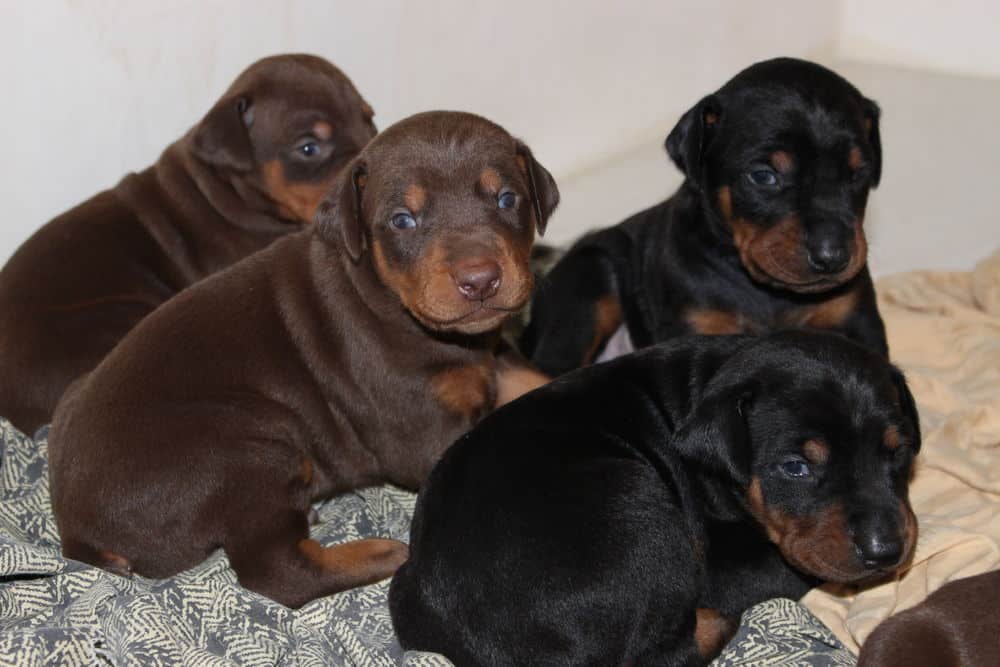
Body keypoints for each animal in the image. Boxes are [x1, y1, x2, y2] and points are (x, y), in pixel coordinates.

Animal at [47, 111, 560, 612]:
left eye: (507, 198)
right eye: (402, 220)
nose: (481, 280)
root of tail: (77, 531)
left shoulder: (497, 357)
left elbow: (532, 380)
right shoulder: (420, 433)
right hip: (246, 445)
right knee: (276, 572)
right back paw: (378, 553)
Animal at [390, 332, 920, 667]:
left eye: (898, 452)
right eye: (795, 467)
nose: (886, 551)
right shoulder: (724, 567)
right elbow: (792, 568)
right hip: (640, 506)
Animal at [520, 58, 888, 376]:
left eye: (859, 172)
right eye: (764, 176)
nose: (833, 257)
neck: (771, 295)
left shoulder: (858, 323)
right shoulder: (699, 328)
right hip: (591, 277)